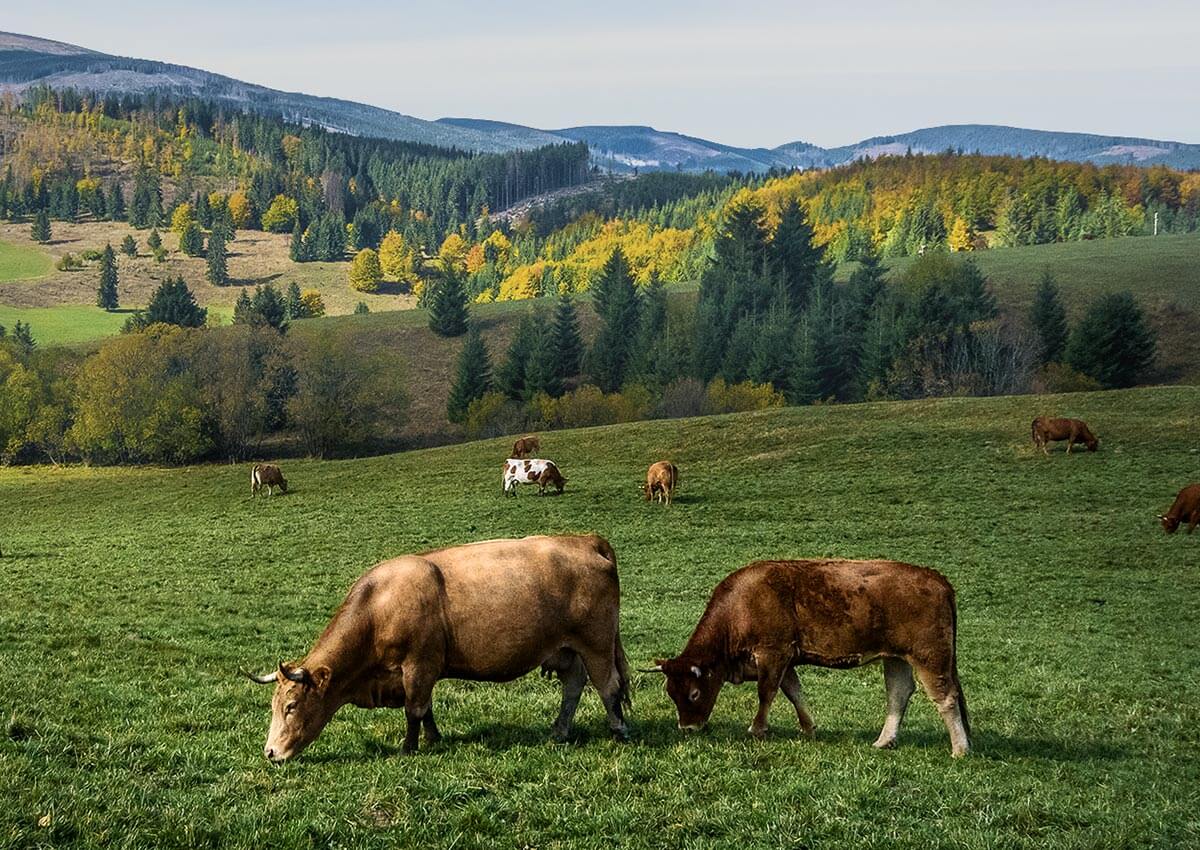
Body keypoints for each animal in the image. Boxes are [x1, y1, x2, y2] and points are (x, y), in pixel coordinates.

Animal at [247, 534, 631, 761]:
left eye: (292, 706)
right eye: (274, 706)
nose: (270, 752)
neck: (379, 605)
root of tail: (584, 540)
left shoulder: (418, 665)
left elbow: (414, 709)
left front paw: (409, 747)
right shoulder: (419, 673)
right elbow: (426, 708)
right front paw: (433, 739)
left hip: (596, 644)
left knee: (608, 687)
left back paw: (619, 731)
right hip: (568, 650)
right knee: (574, 687)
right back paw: (559, 730)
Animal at [644, 559, 970, 758]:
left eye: (695, 693)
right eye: (670, 692)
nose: (687, 728)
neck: (740, 607)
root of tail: (937, 578)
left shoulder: (772, 653)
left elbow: (767, 693)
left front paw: (757, 729)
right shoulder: (786, 660)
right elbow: (794, 693)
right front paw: (809, 728)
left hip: (930, 656)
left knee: (945, 697)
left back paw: (960, 748)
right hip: (896, 657)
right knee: (899, 694)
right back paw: (883, 741)